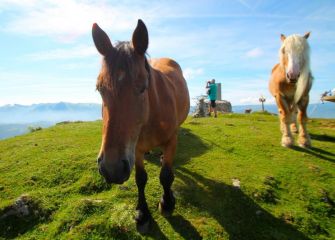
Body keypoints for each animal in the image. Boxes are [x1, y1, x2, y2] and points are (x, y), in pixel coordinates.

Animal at [92, 19, 190, 232]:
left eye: (143, 87)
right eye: (99, 88)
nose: (111, 169)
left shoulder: (171, 140)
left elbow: (166, 175)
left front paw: (167, 203)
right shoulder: (134, 149)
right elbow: (140, 178)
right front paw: (142, 213)